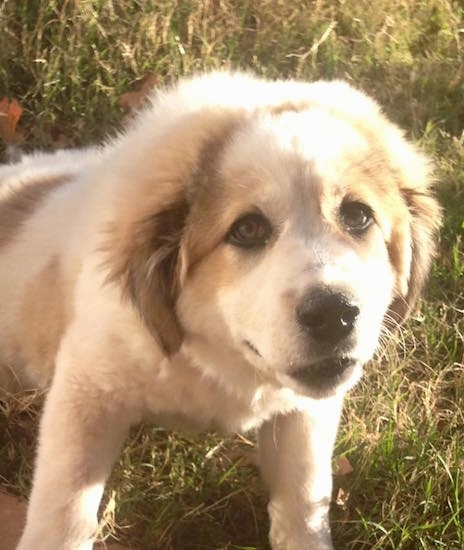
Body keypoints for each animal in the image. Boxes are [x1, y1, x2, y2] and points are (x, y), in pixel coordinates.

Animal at [0, 74, 440, 550]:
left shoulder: (304, 411)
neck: (216, 357)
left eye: (358, 217)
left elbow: (304, 495)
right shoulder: (87, 391)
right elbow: (64, 510)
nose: (334, 314)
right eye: (247, 230)